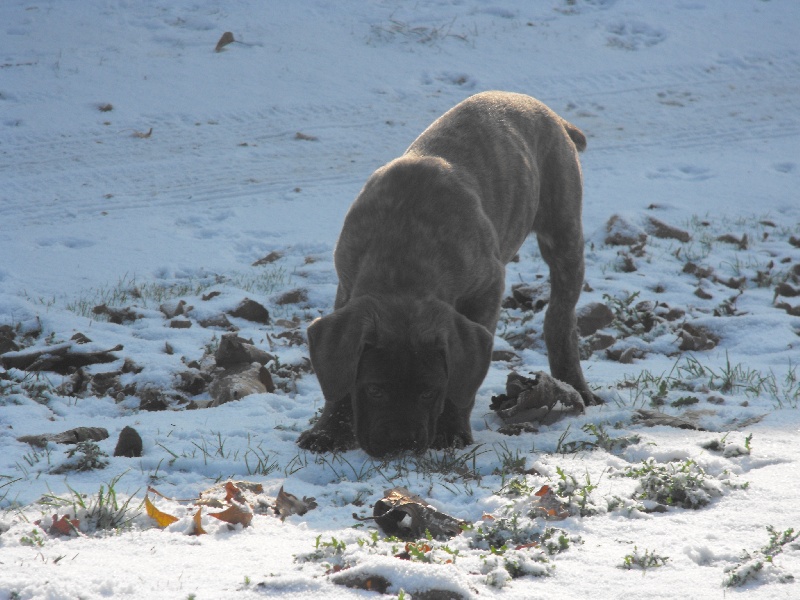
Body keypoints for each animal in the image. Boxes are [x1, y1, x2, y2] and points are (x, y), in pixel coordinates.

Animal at [298, 89, 592, 458]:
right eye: (375, 390)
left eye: (429, 392)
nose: (400, 445)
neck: (403, 263)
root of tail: (548, 113)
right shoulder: (347, 287)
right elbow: (338, 373)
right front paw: (328, 430)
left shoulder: (486, 291)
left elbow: (463, 379)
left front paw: (451, 430)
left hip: (563, 233)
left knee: (560, 318)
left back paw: (577, 386)